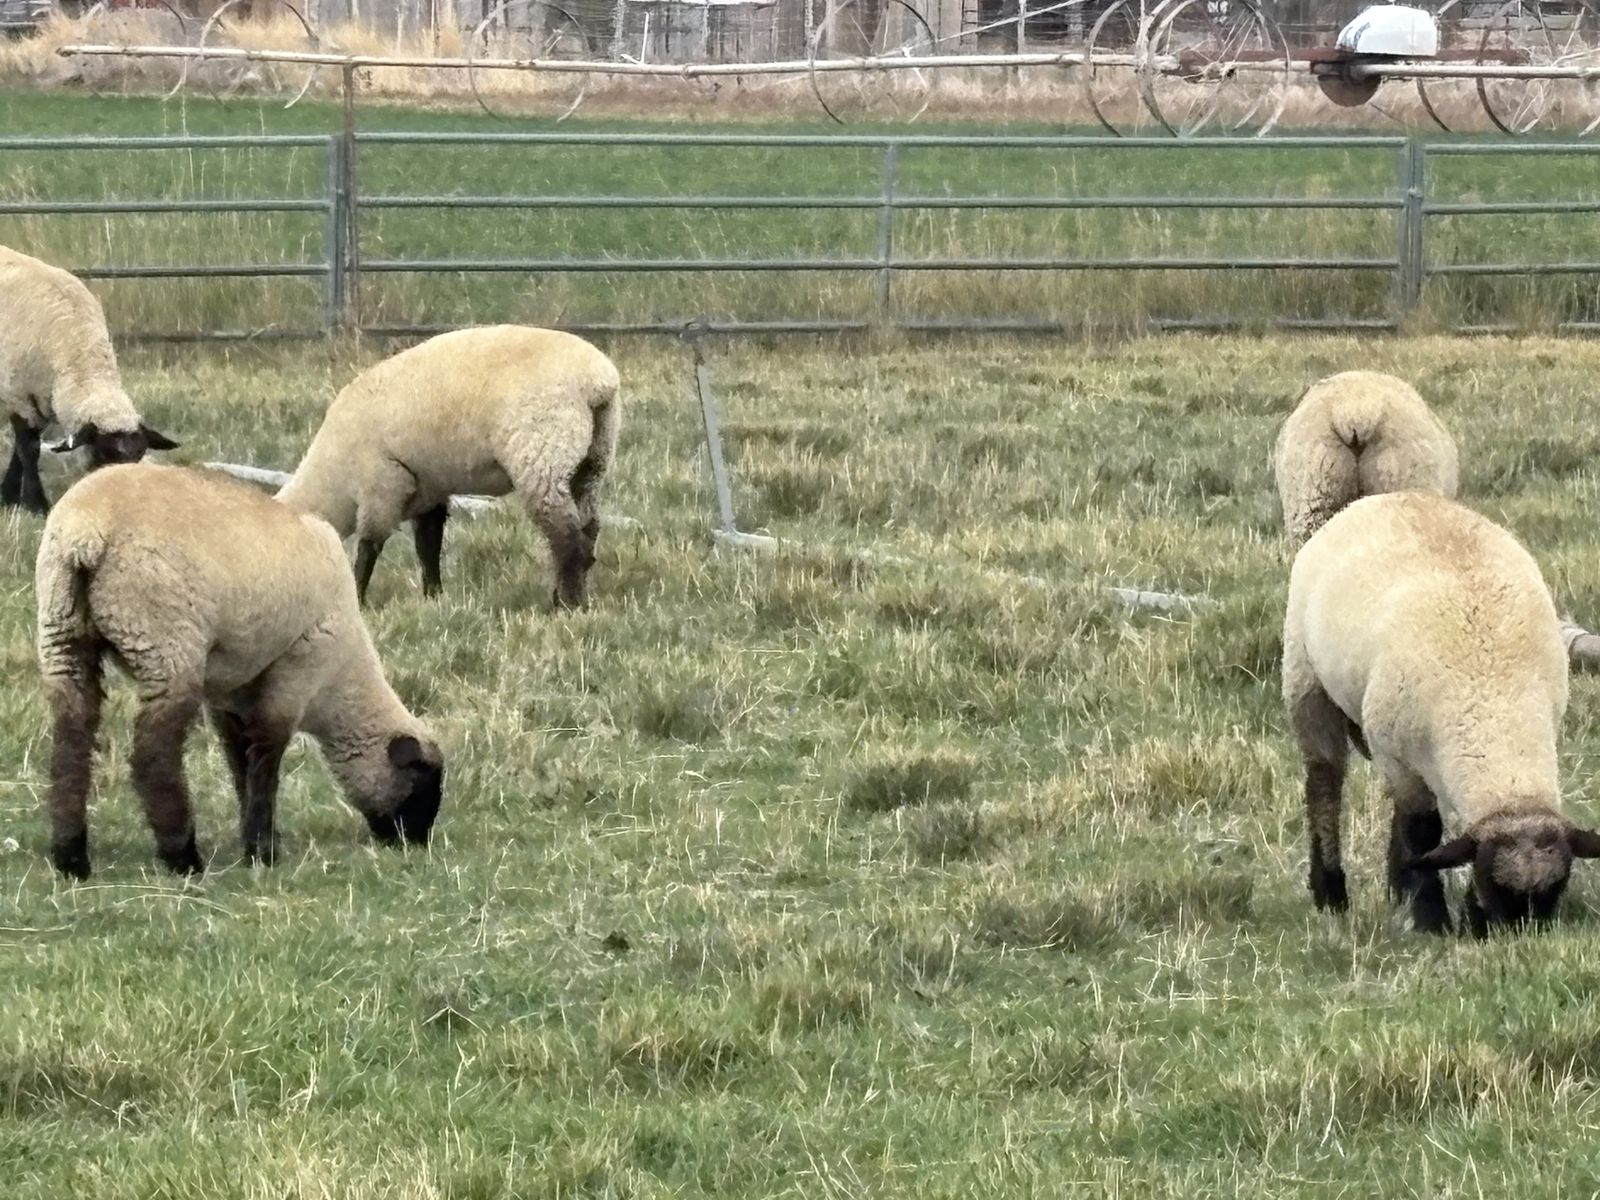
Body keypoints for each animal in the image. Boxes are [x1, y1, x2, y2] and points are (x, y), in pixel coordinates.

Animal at [0, 243, 178, 514]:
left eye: (138, 455)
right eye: (104, 454)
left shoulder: (40, 401)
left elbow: (21, 452)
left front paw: (8, 496)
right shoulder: (20, 395)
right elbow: (28, 450)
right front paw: (36, 503)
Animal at [36, 462, 444, 879]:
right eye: (422, 781)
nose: (414, 842)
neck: (341, 677)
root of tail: (86, 535)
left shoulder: (229, 689)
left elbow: (238, 758)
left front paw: (254, 837)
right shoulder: (299, 667)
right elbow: (266, 757)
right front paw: (263, 850)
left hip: (63, 636)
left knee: (69, 744)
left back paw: (71, 857)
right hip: (166, 644)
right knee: (153, 756)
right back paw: (182, 857)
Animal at [276, 325, 621, 608]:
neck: (332, 477)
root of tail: (597, 383)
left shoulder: (383, 483)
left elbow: (369, 546)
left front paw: (359, 598)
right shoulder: (428, 486)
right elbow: (428, 545)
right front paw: (433, 596)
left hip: (542, 453)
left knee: (567, 538)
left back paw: (568, 605)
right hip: (594, 456)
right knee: (588, 528)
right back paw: (569, 595)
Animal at [1282, 491, 1600, 936]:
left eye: (1555, 889)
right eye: (1492, 883)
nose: (1517, 937)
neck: (1491, 695)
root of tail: (1385, 497)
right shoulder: (1396, 755)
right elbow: (1422, 833)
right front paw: (1430, 918)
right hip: (1304, 676)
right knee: (1324, 783)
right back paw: (1330, 892)